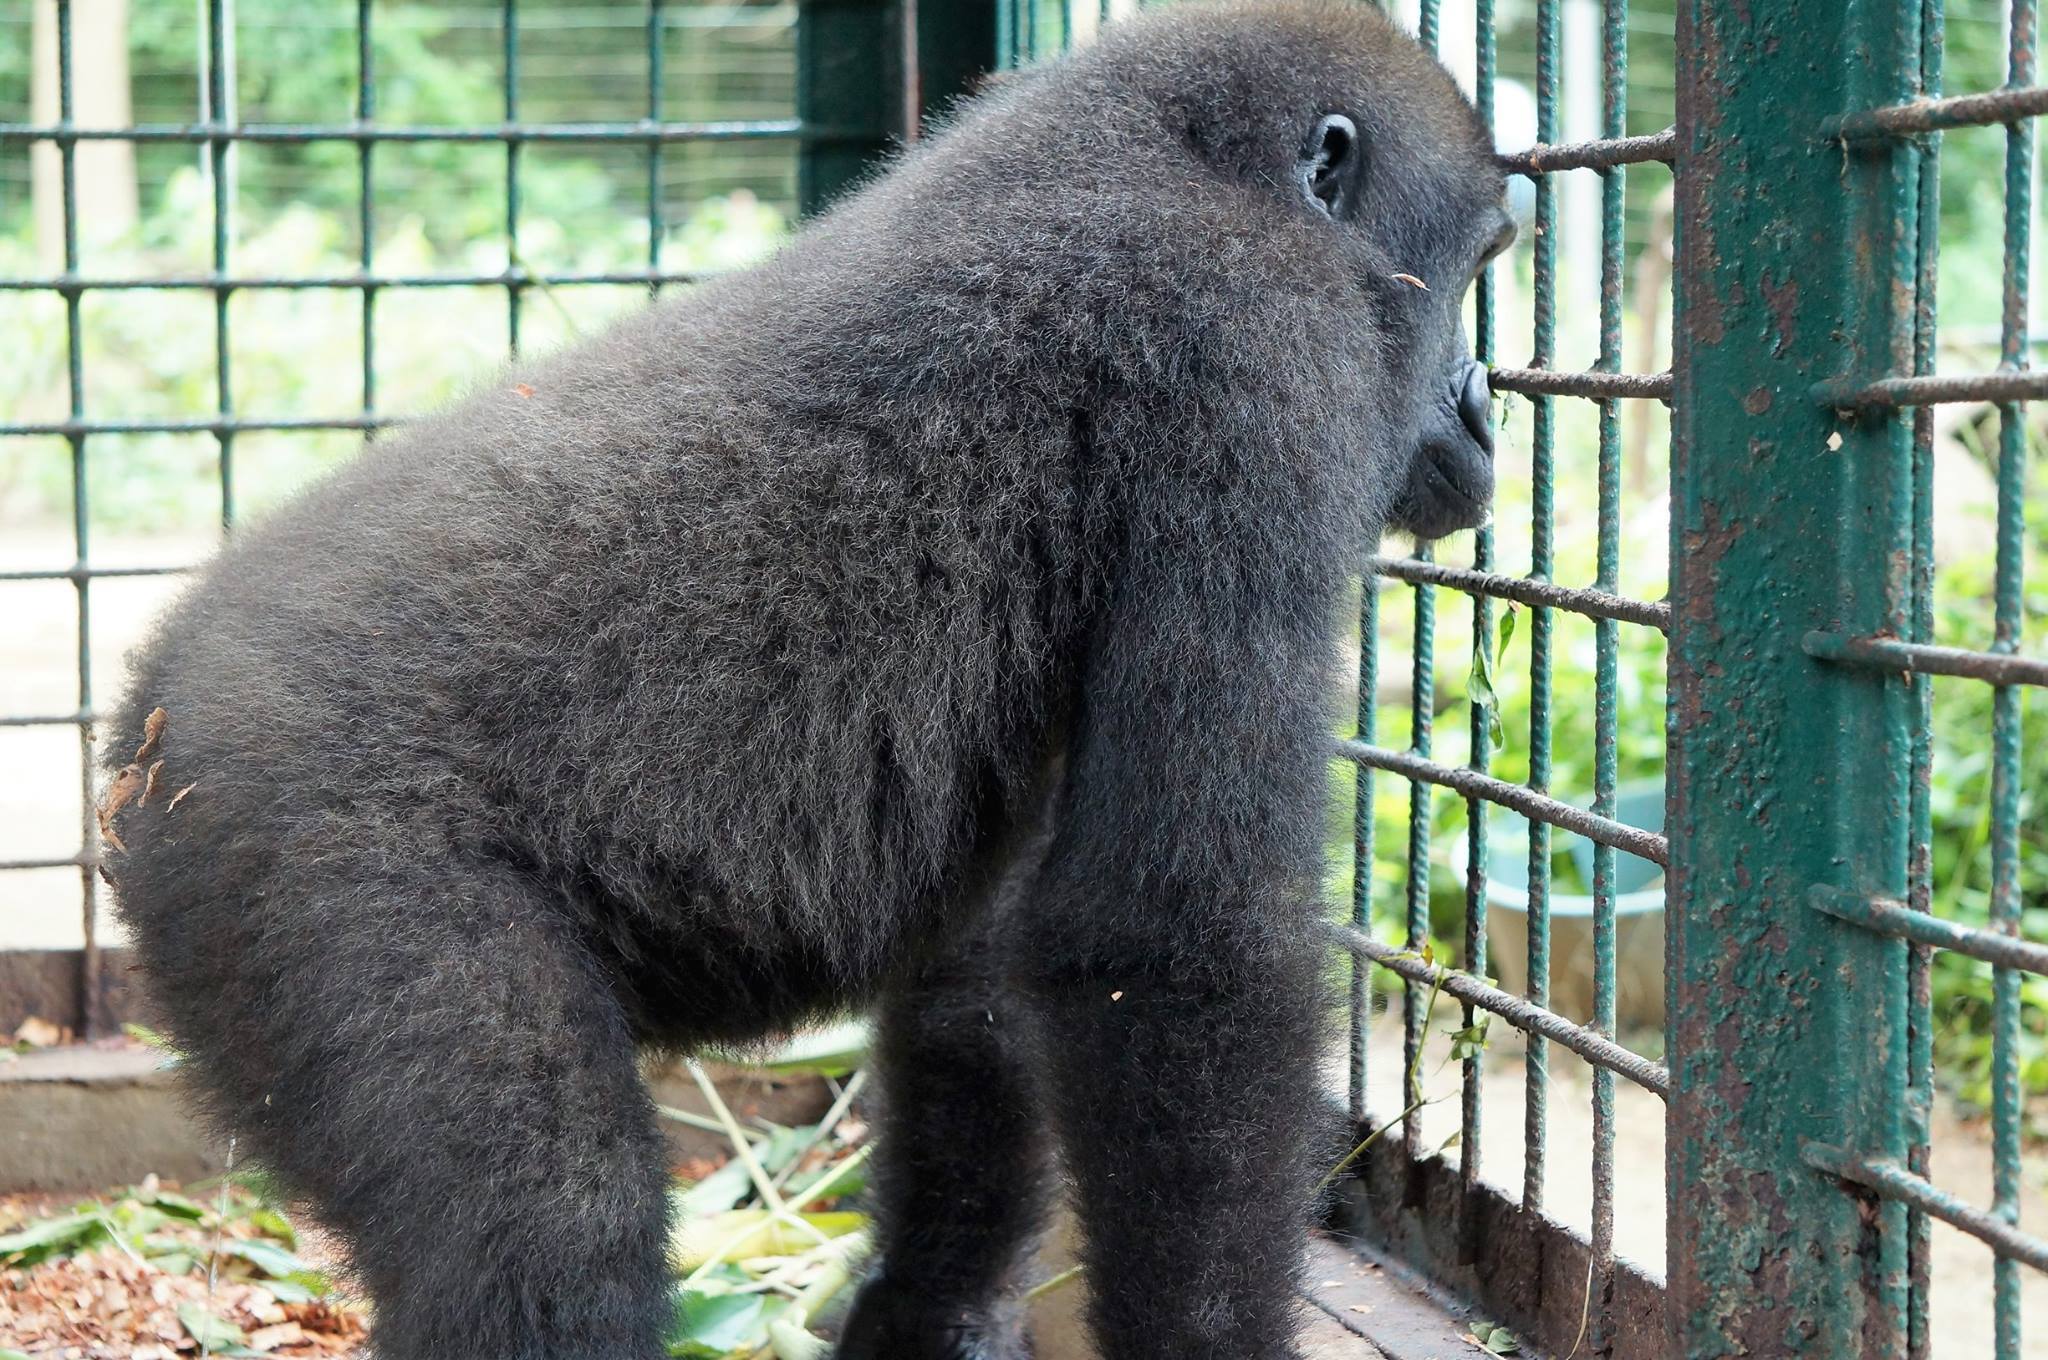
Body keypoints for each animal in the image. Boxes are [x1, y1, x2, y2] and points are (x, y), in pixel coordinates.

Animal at [97, 4, 1510, 1358]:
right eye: (1483, 264)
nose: (1484, 403)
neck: (1181, 157)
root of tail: (141, 738)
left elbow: (989, 964)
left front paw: (932, 1314)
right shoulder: (1261, 356)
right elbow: (1175, 937)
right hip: (288, 856)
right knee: (548, 1218)